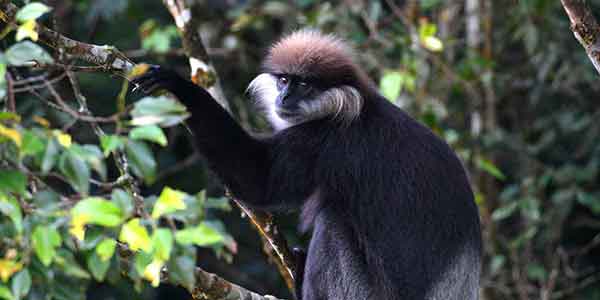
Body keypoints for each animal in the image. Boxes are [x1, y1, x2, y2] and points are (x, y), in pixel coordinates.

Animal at [132, 29, 482, 300]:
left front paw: (181, 88)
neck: (359, 107)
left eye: (304, 85)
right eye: (285, 80)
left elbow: (256, 179)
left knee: (332, 221)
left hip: (361, 292)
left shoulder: (326, 142)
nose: (284, 98)